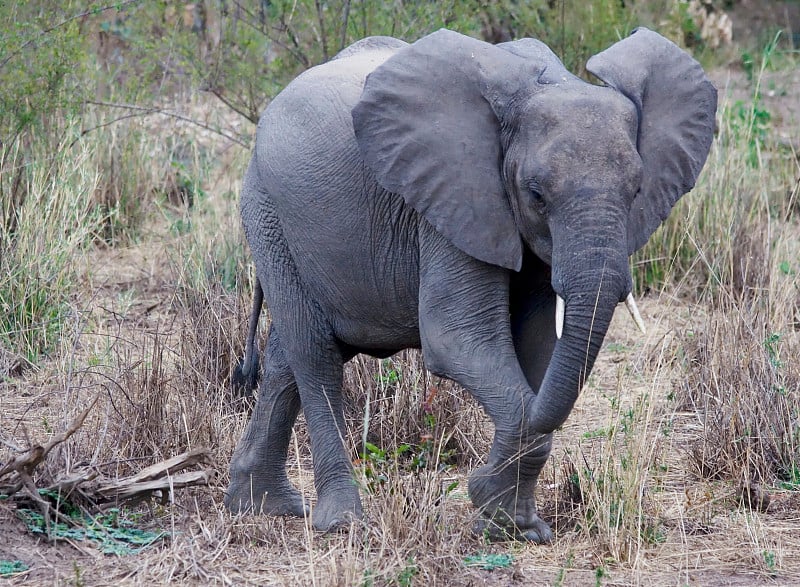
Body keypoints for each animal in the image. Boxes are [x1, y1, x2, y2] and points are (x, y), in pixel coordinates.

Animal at [225, 26, 720, 544]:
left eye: (637, 191)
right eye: (536, 194)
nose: (475, 478)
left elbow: (538, 345)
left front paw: (513, 526)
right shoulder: (450, 201)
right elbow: (458, 337)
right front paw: (502, 514)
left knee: (286, 357)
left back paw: (261, 506)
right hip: (268, 210)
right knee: (315, 355)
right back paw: (342, 523)